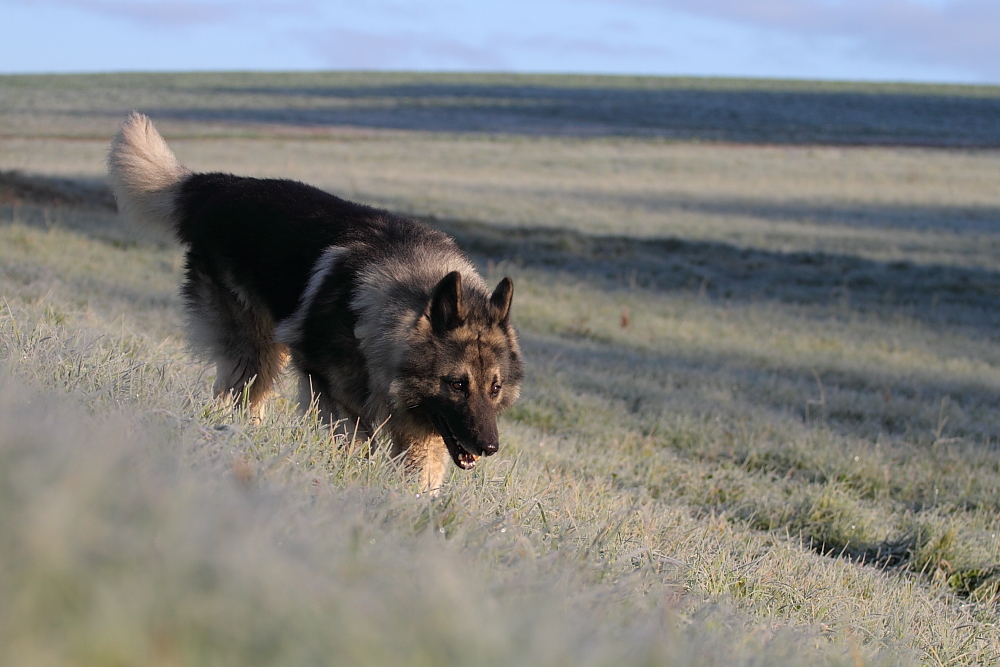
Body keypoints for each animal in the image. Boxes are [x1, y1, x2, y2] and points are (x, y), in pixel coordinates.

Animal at [109, 115, 528, 490]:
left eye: (494, 387)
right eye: (457, 384)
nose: (489, 447)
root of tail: (221, 186)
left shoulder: (422, 433)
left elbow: (421, 480)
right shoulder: (337, 400)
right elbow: (352, 447)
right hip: (256, 351)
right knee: (238, 396)